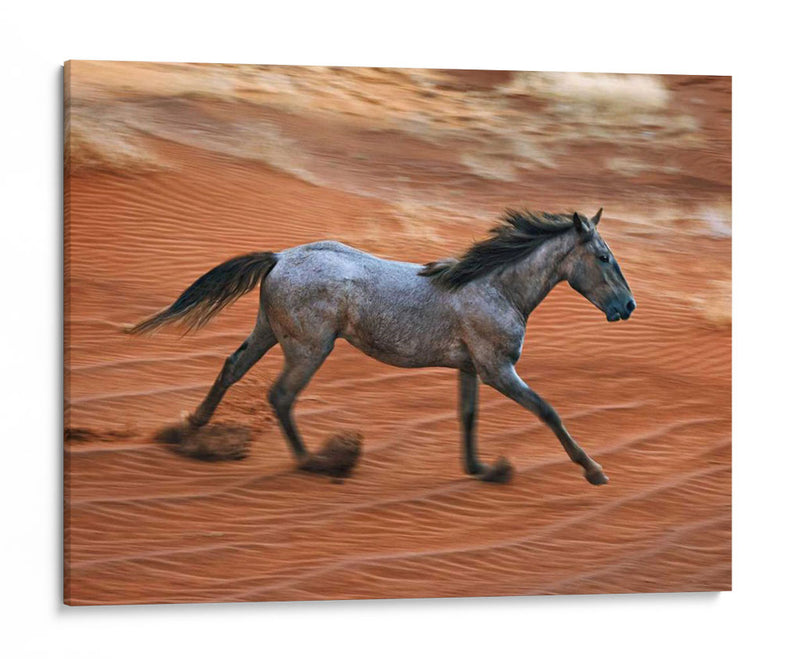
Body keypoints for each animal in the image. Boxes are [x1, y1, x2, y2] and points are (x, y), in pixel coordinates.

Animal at [127, 208, 636, 484]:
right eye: (603, 257)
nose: (628, 306)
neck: (497, 287)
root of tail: (280, 257)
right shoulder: (497, 369)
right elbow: (548, 410)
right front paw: (594, 471)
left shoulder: (470, 368)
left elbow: (468, 416)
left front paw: (482, 469)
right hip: (310, 348)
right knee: (281, 395)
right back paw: (315, 461)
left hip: (269, 331)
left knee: (232, 367)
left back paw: (190, 430)